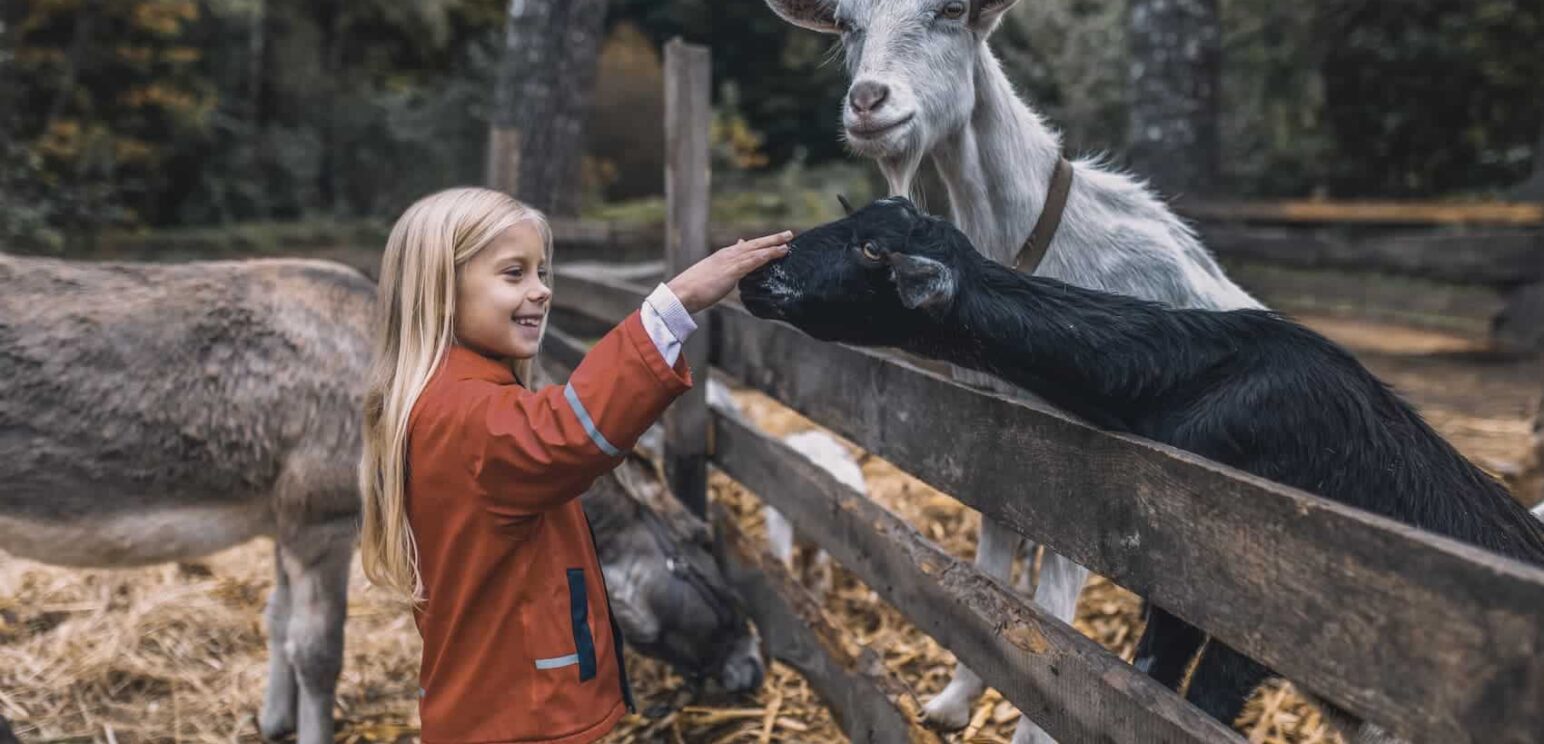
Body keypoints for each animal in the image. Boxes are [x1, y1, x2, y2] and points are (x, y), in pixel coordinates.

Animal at [734, 196, 1544, 731]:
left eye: (871, 249)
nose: (754, 274)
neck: (1186, 375)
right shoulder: (1178, 583)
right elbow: (1151, 676)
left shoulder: (1264, 601)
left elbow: (1198, 707)